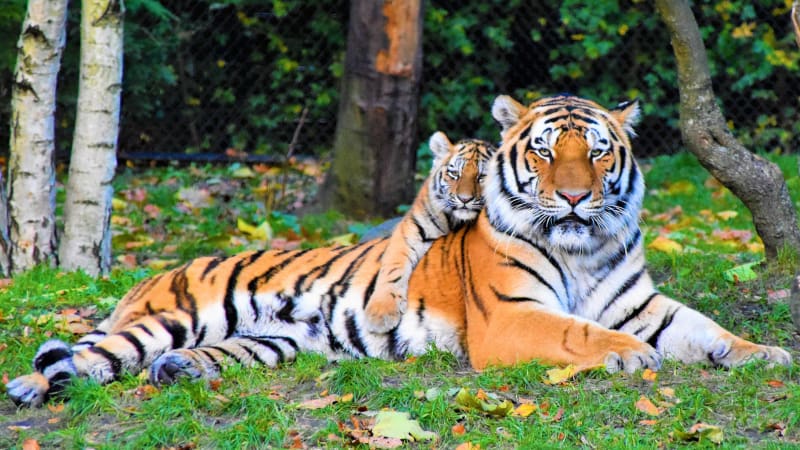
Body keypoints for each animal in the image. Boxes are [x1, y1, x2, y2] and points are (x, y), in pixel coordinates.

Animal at [7, 95, 792, 408]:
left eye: (597, 152)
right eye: (545, 152)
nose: (573, 197)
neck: (584, 248)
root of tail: (160, 273)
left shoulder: (641, 302)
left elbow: (707, 329)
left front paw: (767, 354)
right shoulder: (512, 316)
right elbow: (580, 332)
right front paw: (631, 355)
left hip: (271, 342)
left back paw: (177, 372)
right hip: (168, 318)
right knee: (87, 356)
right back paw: (28, 389)